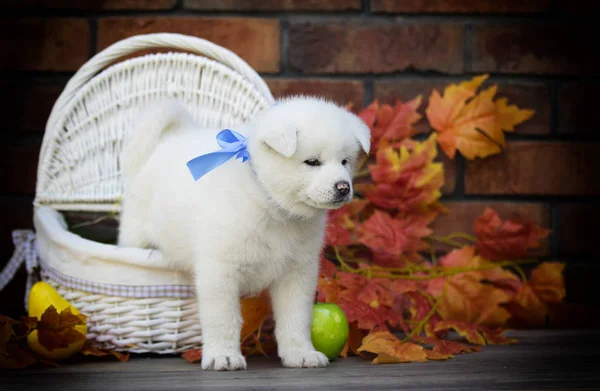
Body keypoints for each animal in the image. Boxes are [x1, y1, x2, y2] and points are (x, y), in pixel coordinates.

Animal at [117, 96, 370, 372]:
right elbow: (223, 319)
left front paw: (301, 354)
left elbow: (296, 318)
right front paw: (223, 356)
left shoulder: (298, 272)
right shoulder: (219, 271)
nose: (343, 187)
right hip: (134, 233)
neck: (272, 206)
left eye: (345, 161)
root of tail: (172, 140)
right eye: (312, 162)